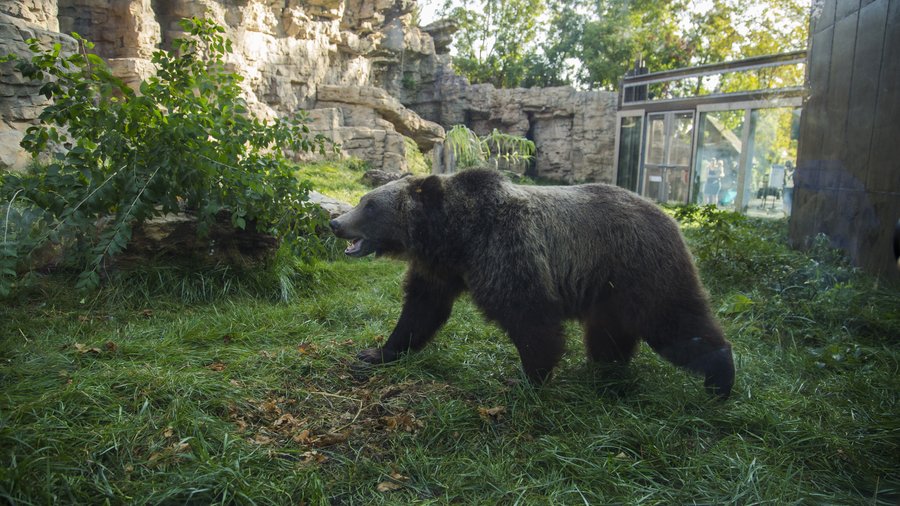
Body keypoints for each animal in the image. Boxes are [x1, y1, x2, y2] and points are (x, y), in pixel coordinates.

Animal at [332, 168, 740, 398]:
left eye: (369, 205)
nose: (336, 222)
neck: (456, 236)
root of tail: (669, 217)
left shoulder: (508, 250)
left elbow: (531, 318)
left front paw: (527, 380)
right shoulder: (441, 270)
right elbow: (420, 310)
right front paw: (377, 352)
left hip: (639, 267)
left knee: (673, 321)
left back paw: (719, 380)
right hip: (608, 287)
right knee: (610, 332)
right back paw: (604, 370)